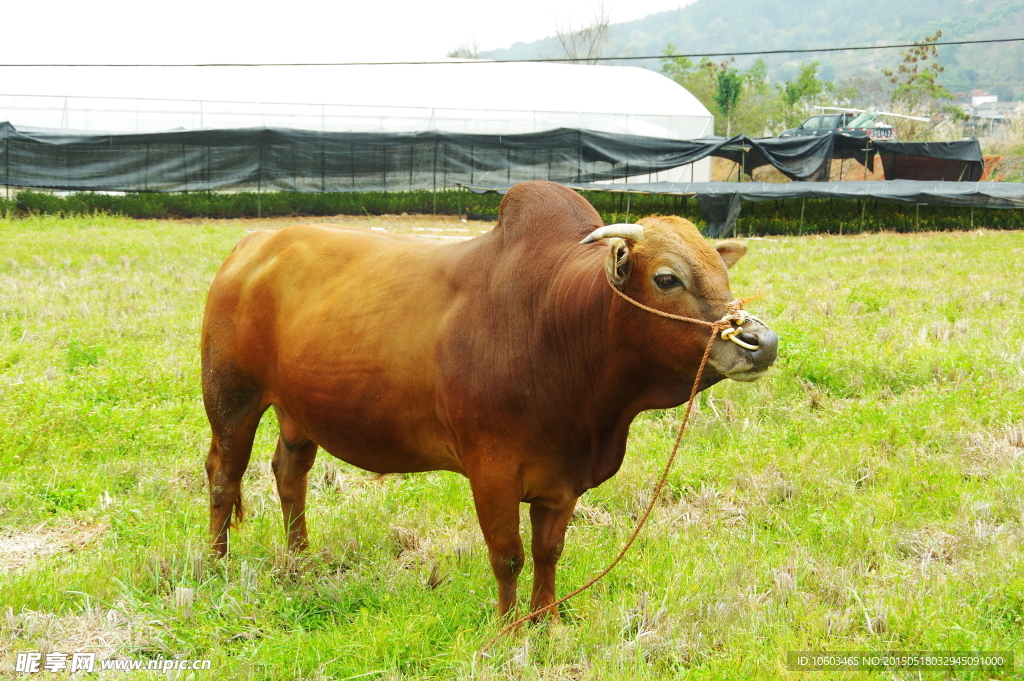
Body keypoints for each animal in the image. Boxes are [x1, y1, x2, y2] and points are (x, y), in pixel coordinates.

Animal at [199, 180, 774, 614]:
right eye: (667, 278)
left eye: (723, 273)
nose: (761, 342)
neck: (557, 320)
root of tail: (255, 242)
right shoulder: (491, 470)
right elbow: (508, 555)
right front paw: (509, 630)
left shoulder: (561, 481)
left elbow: (548, 552)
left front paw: (546, 622)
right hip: (231, 399)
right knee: (224, 475)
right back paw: (216, 564)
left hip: (299, 410)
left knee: (289, 474)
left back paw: (300, 560)